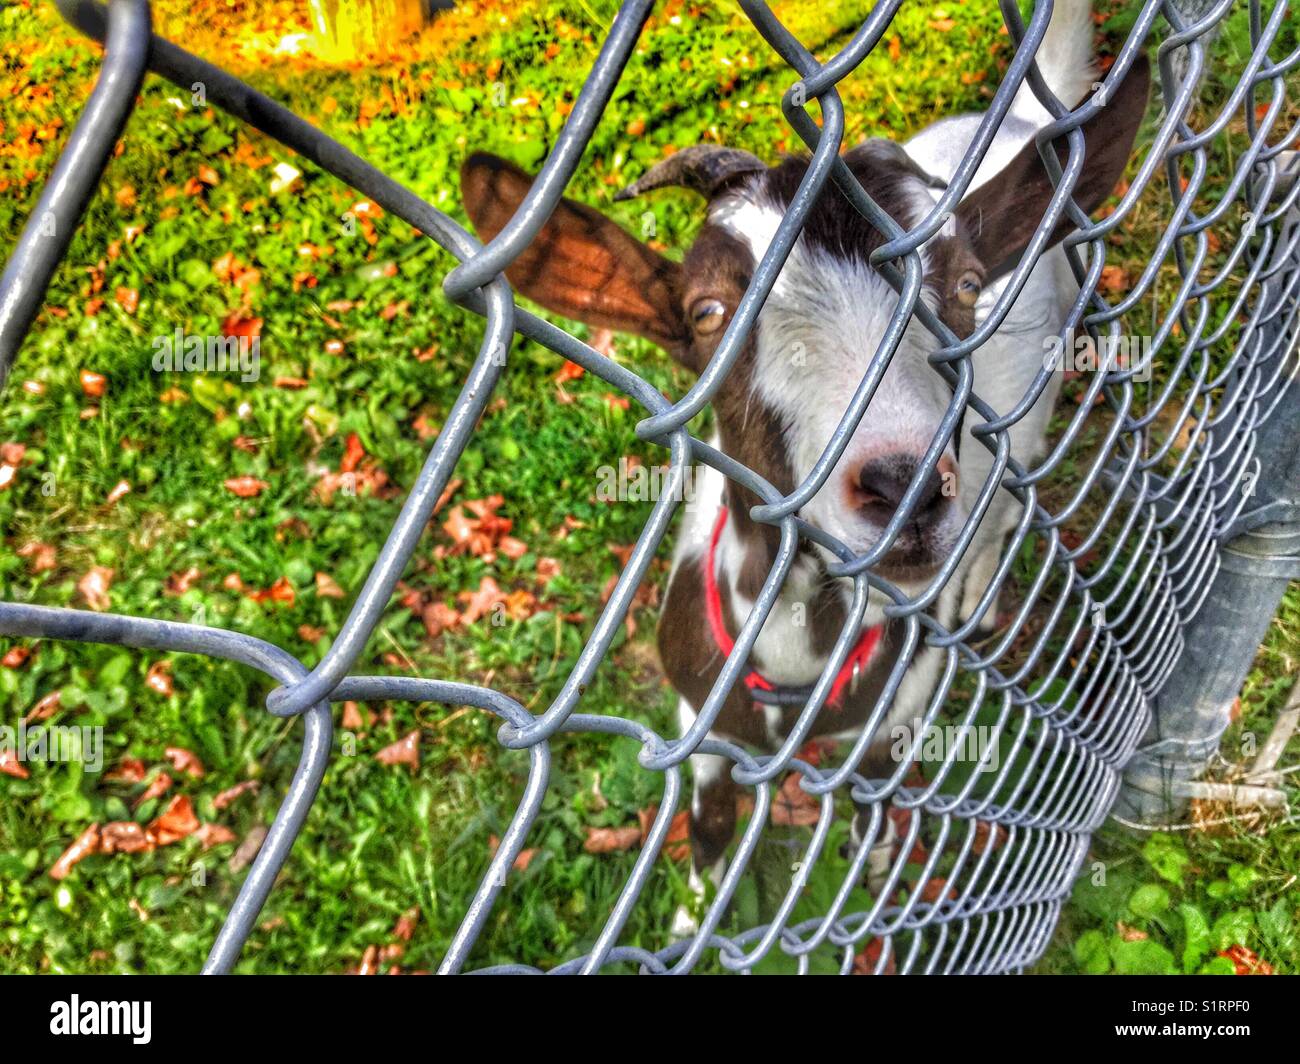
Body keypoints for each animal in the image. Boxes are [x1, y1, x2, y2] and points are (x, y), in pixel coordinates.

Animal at [460, 0, 1149, 934]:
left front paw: (874, 878)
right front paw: (693, 919)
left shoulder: (888, 725)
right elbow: (710, 824)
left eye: (967, 284)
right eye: (707, 312)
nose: (906, 487)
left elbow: (873, 813)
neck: (795, 662)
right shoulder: (700, 721)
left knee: (1010, 503)